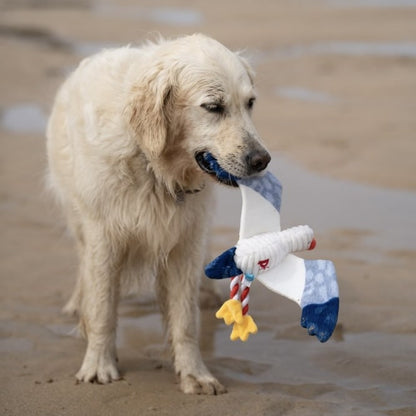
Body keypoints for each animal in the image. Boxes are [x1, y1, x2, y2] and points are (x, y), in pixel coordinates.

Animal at [47, 35, 272, 394]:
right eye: (213, 107)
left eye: (250, 103)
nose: (262, 160)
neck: (153, 166)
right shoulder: (103, 236)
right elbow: (102, 309)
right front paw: (98, 365)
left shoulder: (185, 240)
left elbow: (185, 319)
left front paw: (195, 374)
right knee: (84, 266)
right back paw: (77, 305)